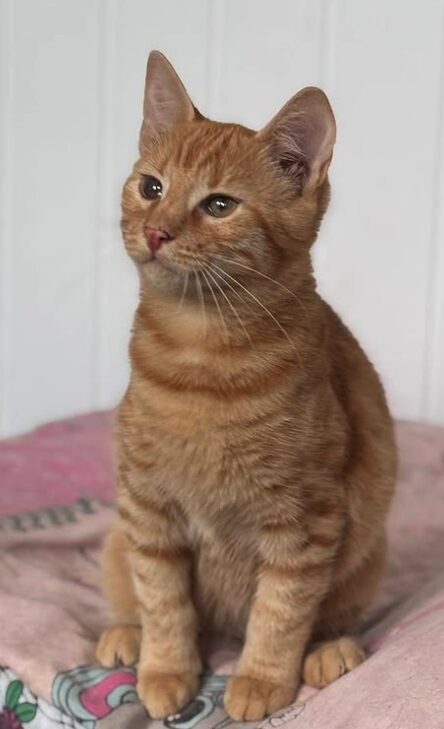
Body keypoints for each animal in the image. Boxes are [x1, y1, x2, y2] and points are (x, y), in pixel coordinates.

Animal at [96, 52, 396, 724]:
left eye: (219, 205)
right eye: (151, 188)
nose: (156, 232)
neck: (200, 358)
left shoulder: (306, 521)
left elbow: (280, 612)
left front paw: (260, 678)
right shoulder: (147, 507)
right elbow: (162, 599)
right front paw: (166, 669)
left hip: (367, 555)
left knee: (331, 615)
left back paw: (331, 650)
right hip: (116, 534)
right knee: (128, 589)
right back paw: (124, 634)